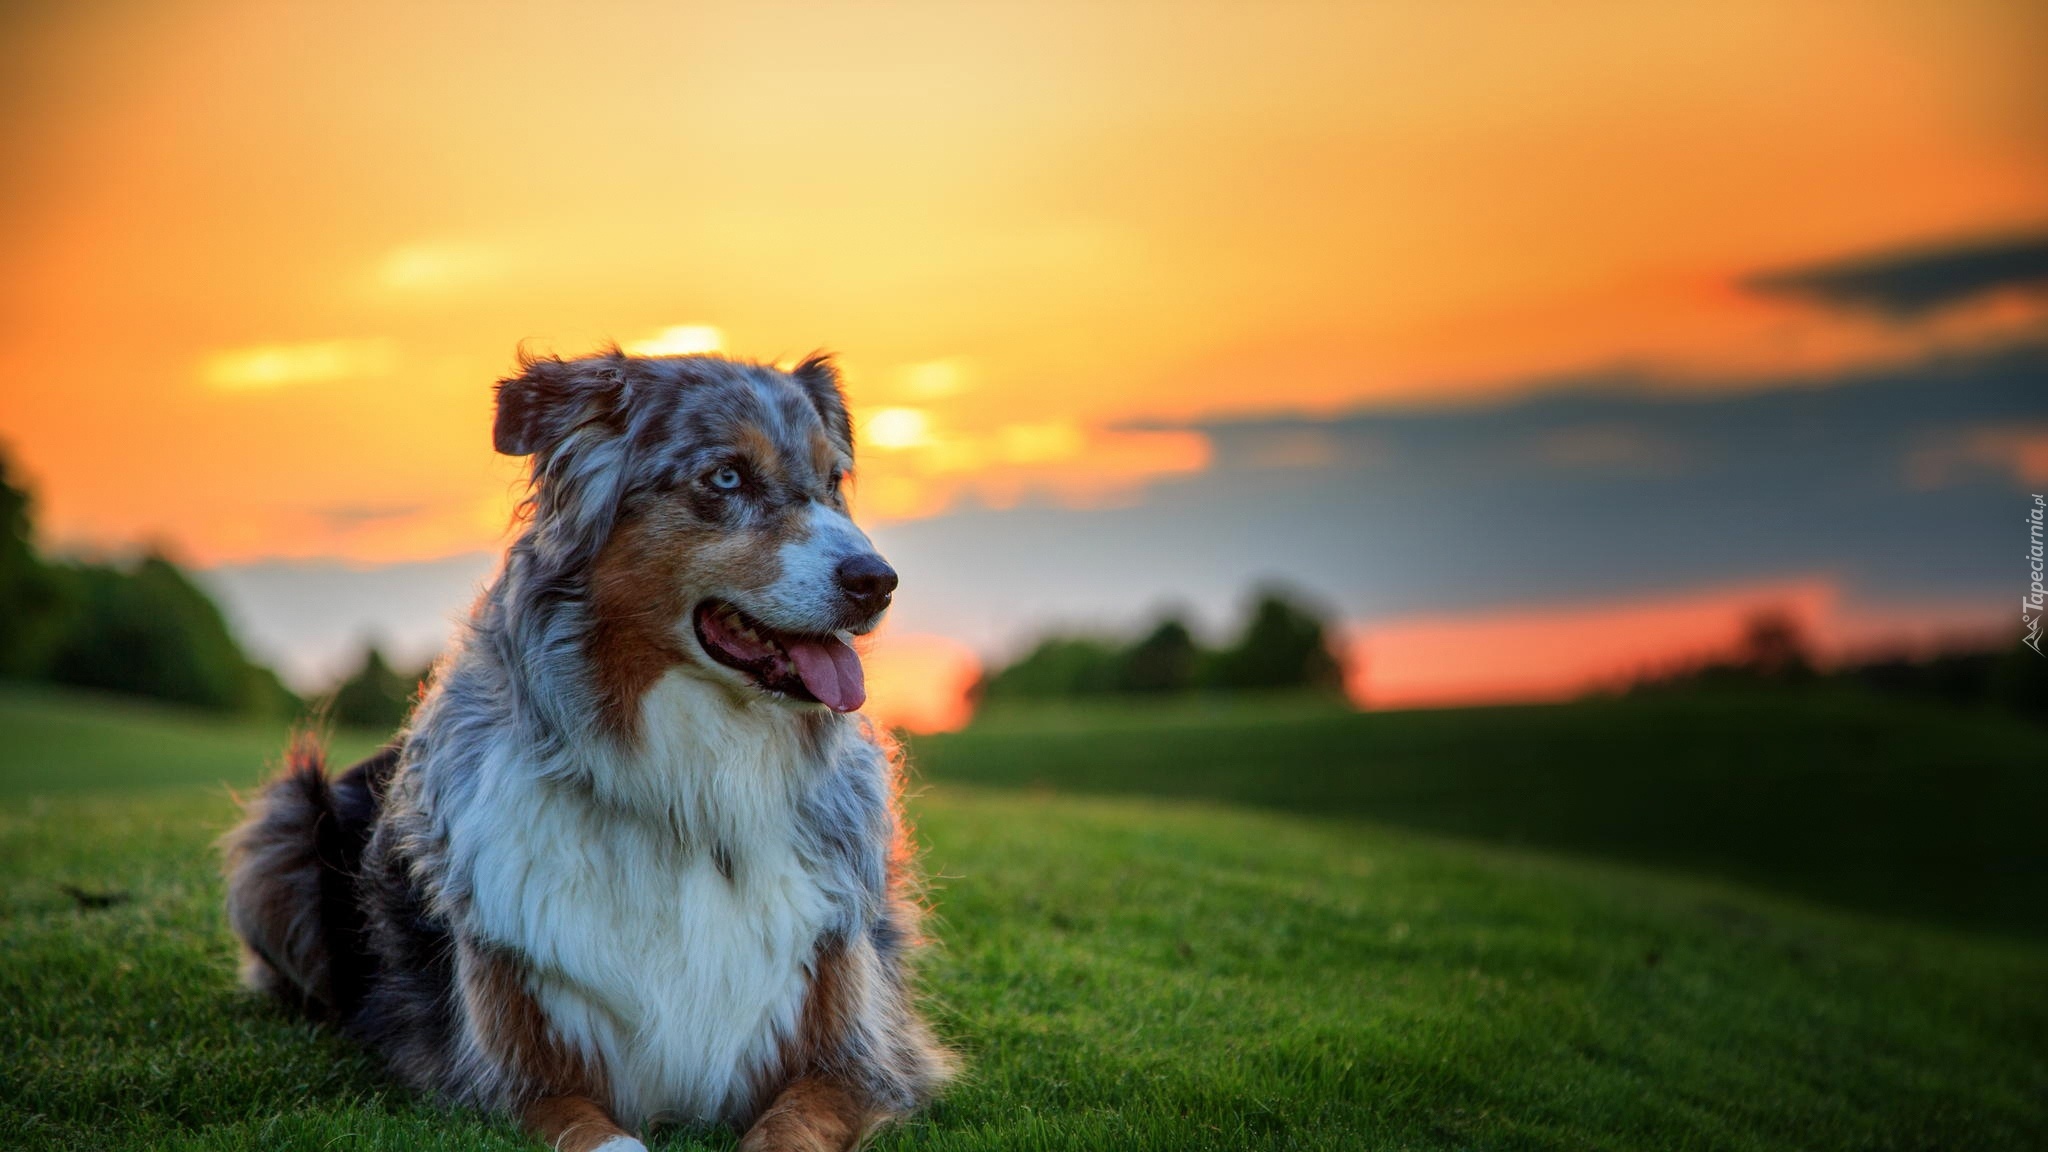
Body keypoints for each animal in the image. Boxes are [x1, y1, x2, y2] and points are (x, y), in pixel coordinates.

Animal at [220, 350, 954, 1147]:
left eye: (833, 482)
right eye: (727, 477)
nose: (878, 582)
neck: (692, 794)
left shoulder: (855, 1058)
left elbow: (787, 1127)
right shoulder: (512, 1075)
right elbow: (608, 1134)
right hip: (283, 831)